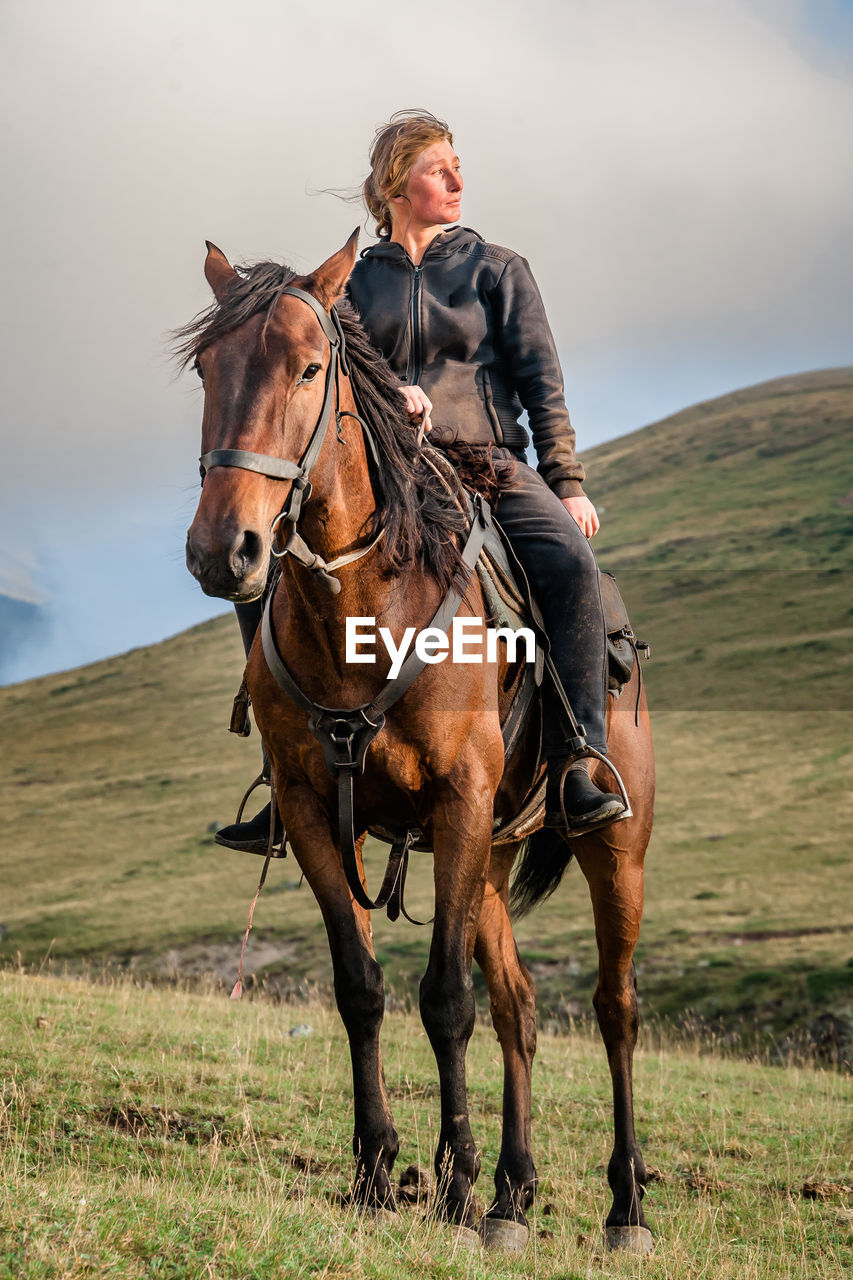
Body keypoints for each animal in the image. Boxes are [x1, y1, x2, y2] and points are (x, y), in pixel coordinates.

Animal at [179, 230, 653, 1249]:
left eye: (308, 368)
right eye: (206, 368)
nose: (222, 551)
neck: (363, 608)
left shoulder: (458, 799)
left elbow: (444, 1000)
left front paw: (453, 1185)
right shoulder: (319, 812)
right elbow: (361, 987)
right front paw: (376, 1173)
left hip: (611, 849)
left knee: (614, 1007)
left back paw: (623, 1204)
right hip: (486, 861)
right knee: (518, 1009)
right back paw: (516, 1194)